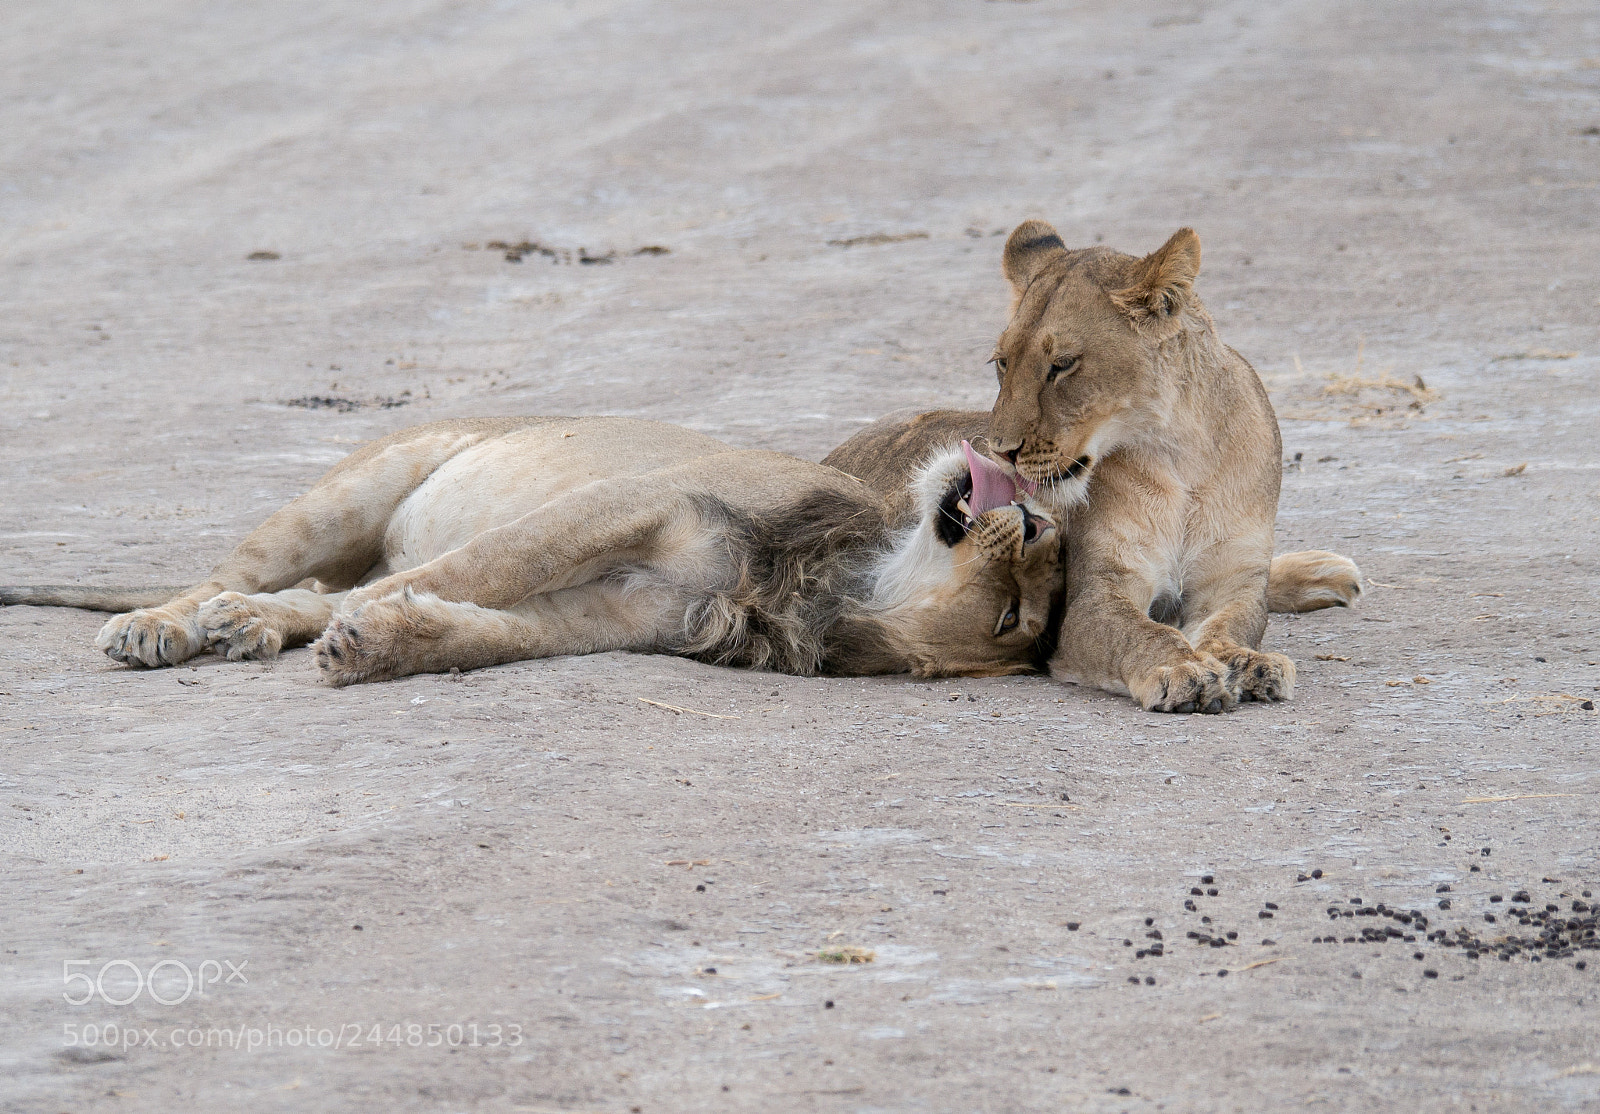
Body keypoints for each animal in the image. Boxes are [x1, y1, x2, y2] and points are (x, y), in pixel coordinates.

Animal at [1, 416, 1063, 683]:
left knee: (300, 592)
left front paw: (374, 646)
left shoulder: (621, 613)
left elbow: (490, 629)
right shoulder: (629, 501)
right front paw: (365, 627)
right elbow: (483, 568)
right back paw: (163, 626)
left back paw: (250, 629)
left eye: (1015, 615)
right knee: (237, 572)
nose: (1041, 522)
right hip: (355, 488)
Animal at [823, 222, 1362, 713]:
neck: (1180, 455)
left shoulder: (1234, 580)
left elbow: (1235, 624)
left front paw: (1248, 663)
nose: (1000, 450)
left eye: (1062, 365)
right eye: (1002, 362)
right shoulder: (1095, 594)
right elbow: (1140, 633)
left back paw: (1329, 574)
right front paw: (1184, 669)